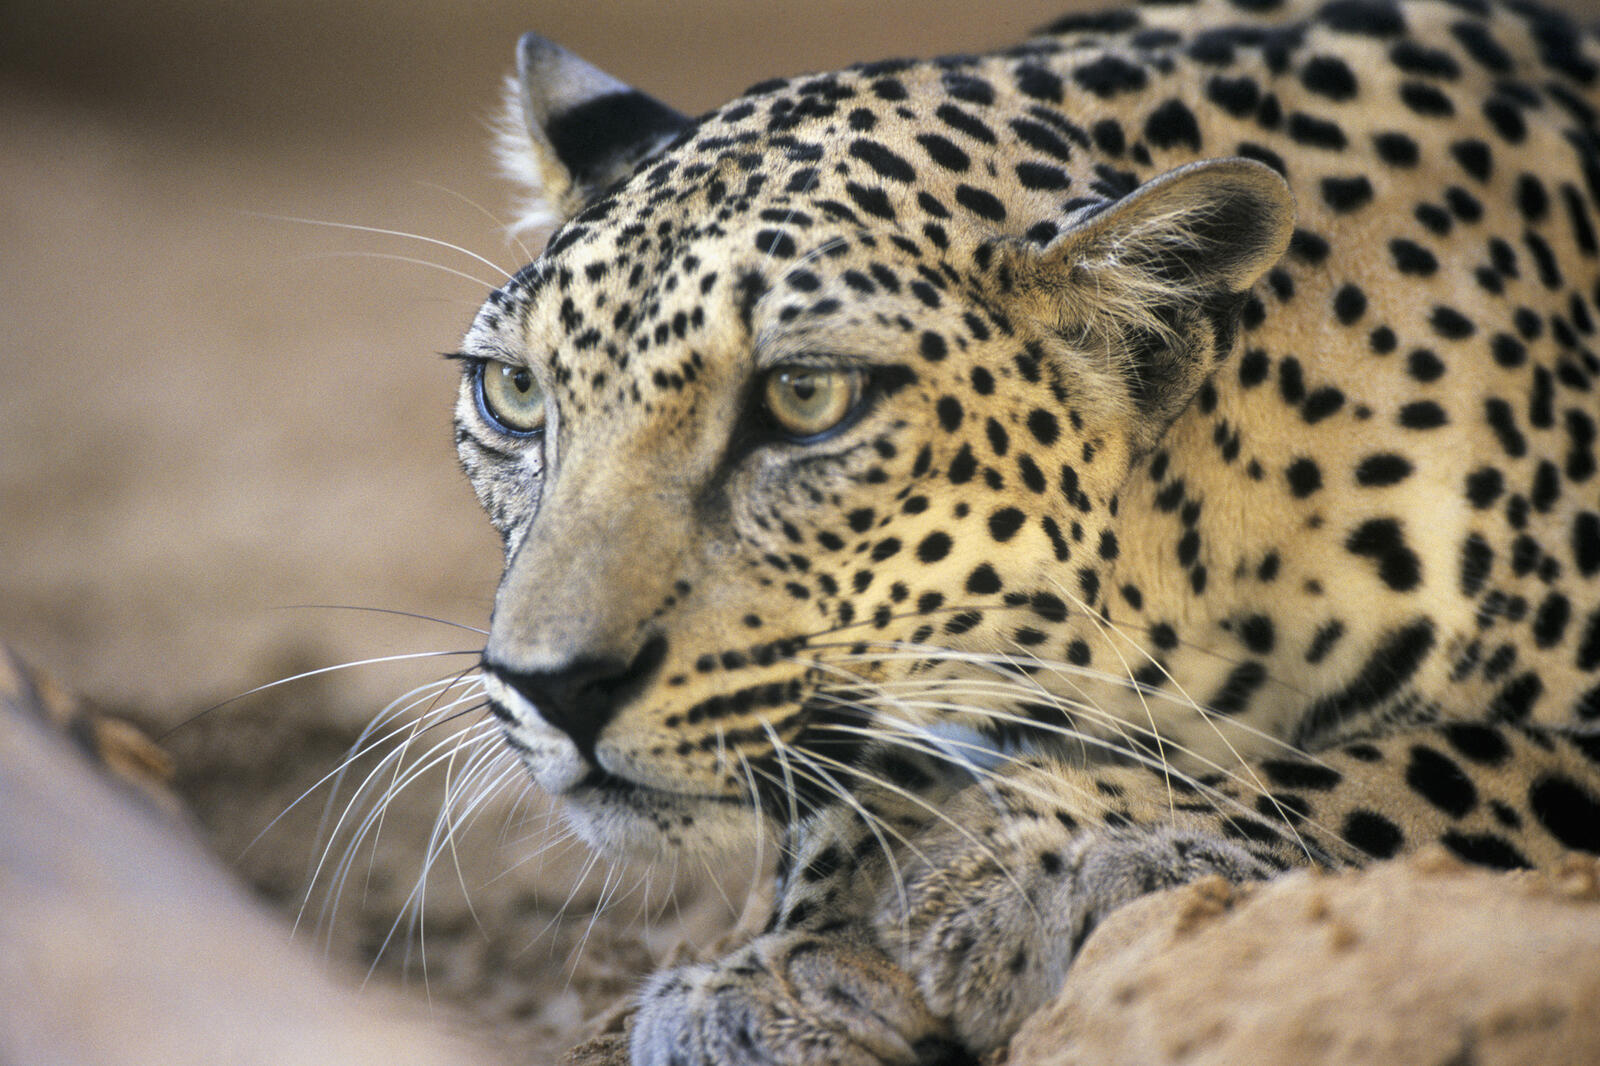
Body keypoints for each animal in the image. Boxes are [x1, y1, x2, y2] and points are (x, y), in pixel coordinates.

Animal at [450, 0, 1600, 1062]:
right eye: (514, 392)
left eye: (806, 398)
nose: (552, 688)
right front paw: (784, 972)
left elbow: (1442, 755)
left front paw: (1026, 868)